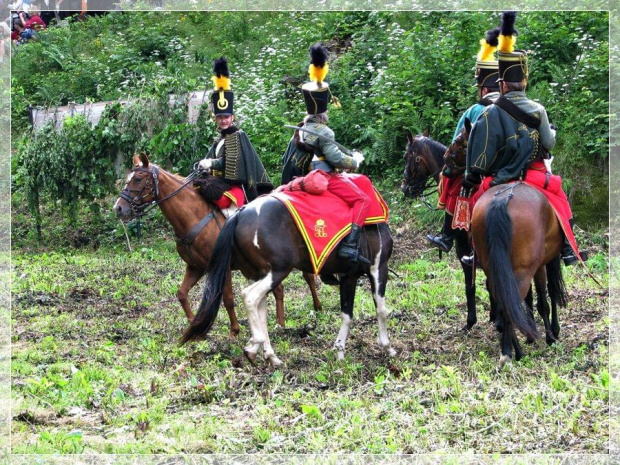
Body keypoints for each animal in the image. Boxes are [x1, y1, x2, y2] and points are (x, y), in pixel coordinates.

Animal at [114, 152, 324, 338]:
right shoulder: (196, 267)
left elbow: (228, 299)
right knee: (283, 286)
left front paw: (234, 331)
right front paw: (194, 324)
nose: (119, 208)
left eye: (138, 179)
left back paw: (299, 316)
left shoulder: (223, 267)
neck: (193, 216)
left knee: (301, 279)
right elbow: (182, 294)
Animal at [182, 192, 394, 366]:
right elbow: (381, 310)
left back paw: (269, 354)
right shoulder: (378, 268)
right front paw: (387, 346)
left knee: (259, 308)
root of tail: (240, 214)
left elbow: (347, 314)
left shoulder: (349, 276)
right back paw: (255, 344)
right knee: (249, 297)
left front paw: (339, 351)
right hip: (277, 271)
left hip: (259, 274)